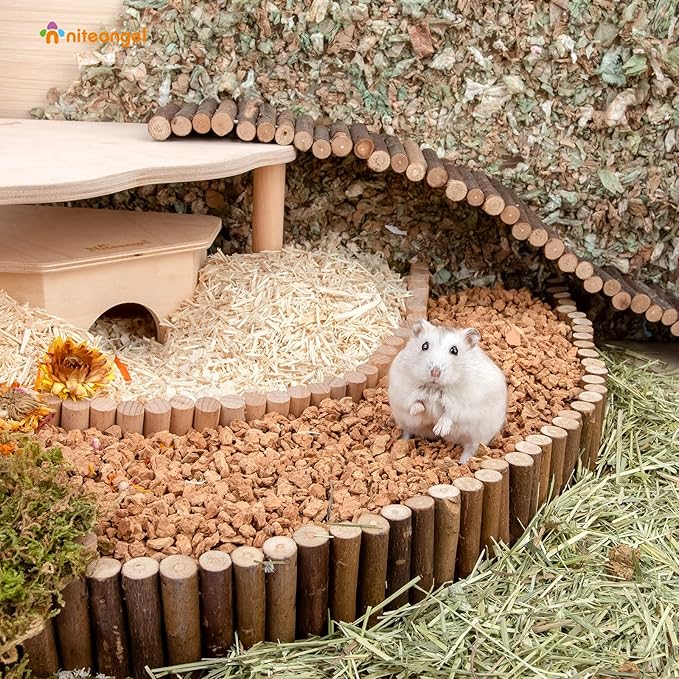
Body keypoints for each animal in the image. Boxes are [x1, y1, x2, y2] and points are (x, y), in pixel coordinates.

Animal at [388, 319, 508, 464]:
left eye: (454, 350)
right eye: (424, 346)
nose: (435, 372)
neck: (434, 387)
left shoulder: (465, 404)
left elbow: (450, 414)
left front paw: (439, 430)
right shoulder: (402, 391)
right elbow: (415, 402)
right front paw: (416, 411)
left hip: (479, 435)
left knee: (471, 449)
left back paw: (462, 462)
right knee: (408, 432)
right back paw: (402, 442)